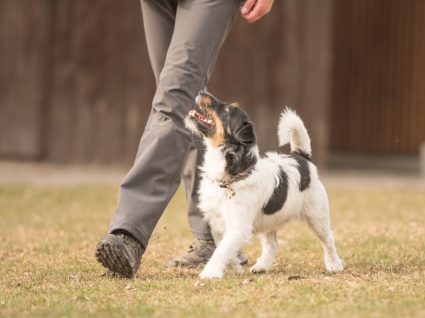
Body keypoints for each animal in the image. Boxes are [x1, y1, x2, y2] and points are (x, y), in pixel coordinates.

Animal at [184, 91, 342, 278]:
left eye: (228, 110)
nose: (202, 92)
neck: (232, 176)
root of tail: (301, 157)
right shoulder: (217, 223)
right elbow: (225, 248)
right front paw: (236, 268)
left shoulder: (238, 227)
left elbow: (221, 250)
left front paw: (210, 273)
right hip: (269, 220)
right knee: (272, 244)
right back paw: (262, 266)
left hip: (317, 216)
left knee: (328, 239)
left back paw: (334, 264)